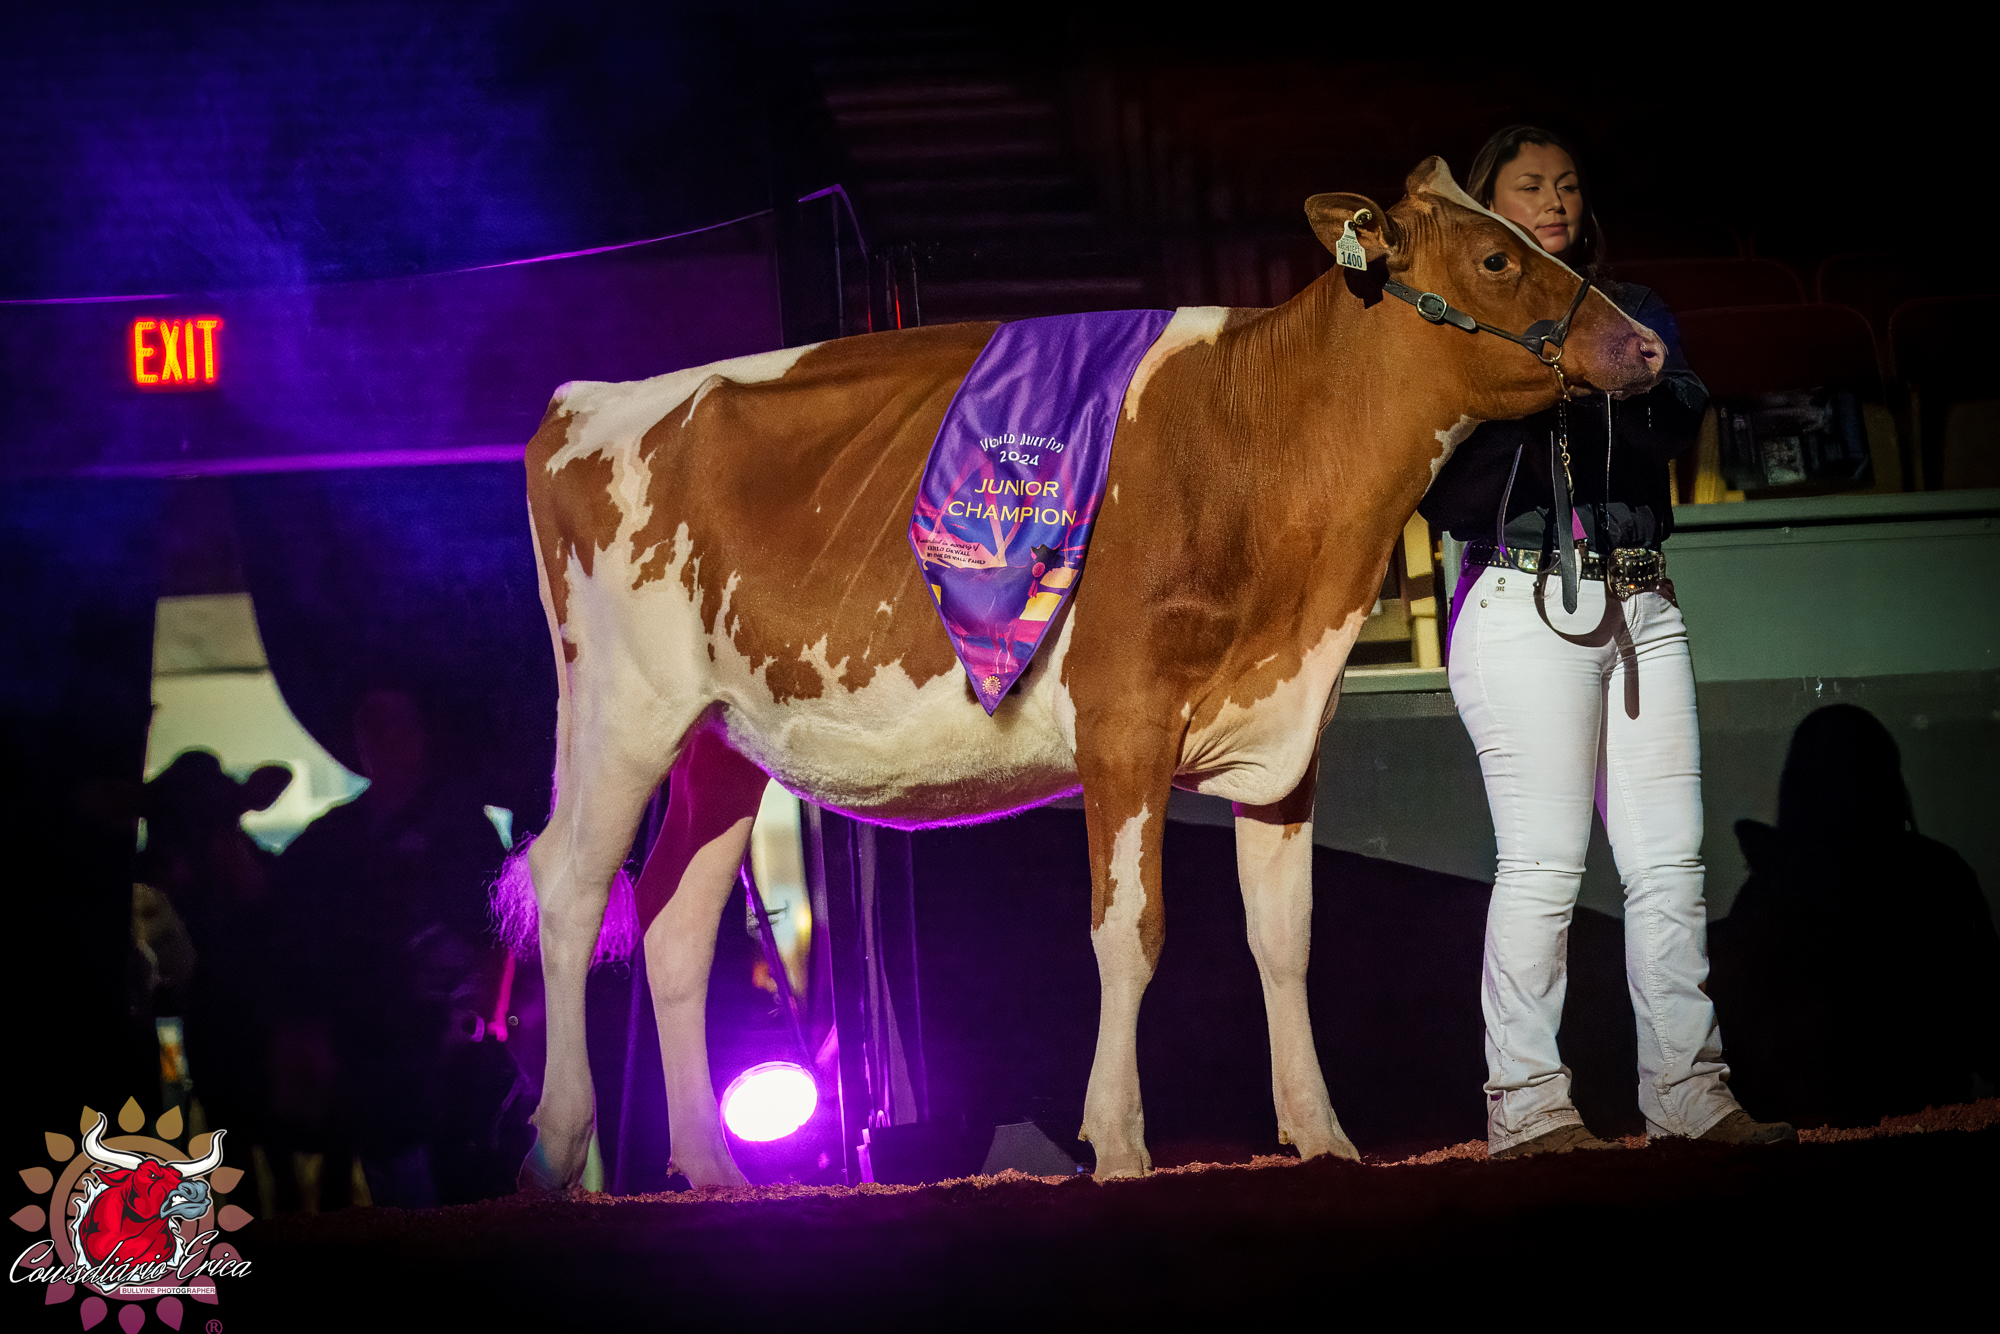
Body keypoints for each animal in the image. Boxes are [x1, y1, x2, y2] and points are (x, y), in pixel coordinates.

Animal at [495, 157, 1666, 1190]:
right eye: (1496, 259)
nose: (1648, 343)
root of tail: (587, 400)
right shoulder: (1123, 720)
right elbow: (1129, 930)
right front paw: (1121, 1139)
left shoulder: (1290, 733)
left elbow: (1284, 940)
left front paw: (1323, 1135)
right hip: (617, 707)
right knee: (569, 885)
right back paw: (557, 1150)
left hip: (719, 735)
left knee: (672, 923)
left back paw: (712, 1166)